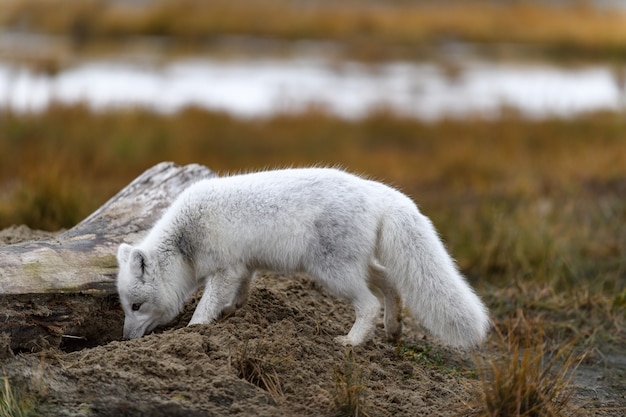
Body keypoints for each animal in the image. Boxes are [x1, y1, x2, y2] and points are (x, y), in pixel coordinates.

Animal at [116, 167, 488, 346]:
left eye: (136, 306)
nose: (124, 338)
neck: (185, 240)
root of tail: (374, 190)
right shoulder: (244, 267)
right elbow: (240, 293)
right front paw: (232, 311)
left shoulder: (225, 269)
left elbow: (205, 307)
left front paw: (195, 330)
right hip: (351, 266)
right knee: (390, 283)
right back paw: (393, 328)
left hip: (332, 273)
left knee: (369, 303)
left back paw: (352, 342)